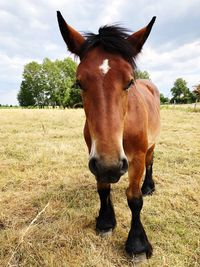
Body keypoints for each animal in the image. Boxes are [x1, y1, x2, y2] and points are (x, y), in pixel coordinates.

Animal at [57, 11, 160, 260]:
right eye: (78, 83)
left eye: (129, 81)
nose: (110, 166)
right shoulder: (96, 157)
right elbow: (103, 189)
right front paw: (105, 222)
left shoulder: (135, 158)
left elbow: (134, 199)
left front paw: (137, 244)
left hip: (150, 147)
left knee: (151, 162)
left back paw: (149, 186)